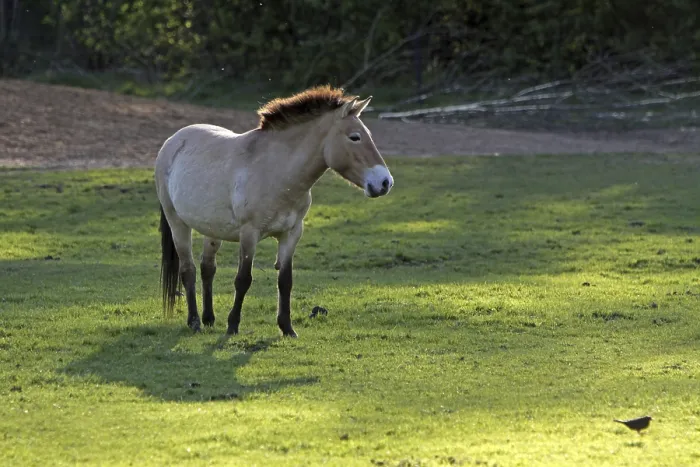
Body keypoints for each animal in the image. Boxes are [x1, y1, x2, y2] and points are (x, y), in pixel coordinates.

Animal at [154, 85, 394, 337]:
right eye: (354, 137)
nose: (385, 182)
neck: (276, 172)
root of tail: (173, 140)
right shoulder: (249, 234)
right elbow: (243, 279)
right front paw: (233, 325)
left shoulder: (292, 234)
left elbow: (285, 281)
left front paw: (287, 328)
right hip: (177, 223)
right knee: (188, 270)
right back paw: (194, 321)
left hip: (212, 229)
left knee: (207, 268)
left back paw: (208, 318)